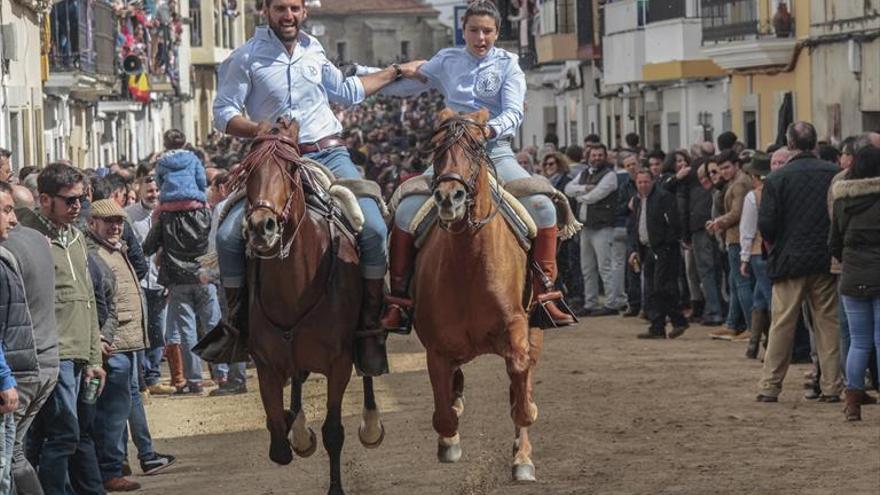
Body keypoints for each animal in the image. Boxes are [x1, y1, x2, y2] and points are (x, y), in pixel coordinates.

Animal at [230, 121, 384, 495]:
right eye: (248, 171)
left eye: (290, 168)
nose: (261, 227)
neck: (296, 286)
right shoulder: (267, 364)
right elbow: (277, 439)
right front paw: (292, 427)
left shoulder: (339, 362)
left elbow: (333, 431)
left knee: (368, 367)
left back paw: (371, 426)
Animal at [412, 107, 544, 480]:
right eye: (437, 147)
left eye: (475, 148)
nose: (448, 197)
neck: (469, 261)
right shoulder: (436, 348)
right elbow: (444, 412)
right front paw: (449, 438)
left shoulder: (516, 327)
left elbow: (520, 383)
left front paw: (523, 451)